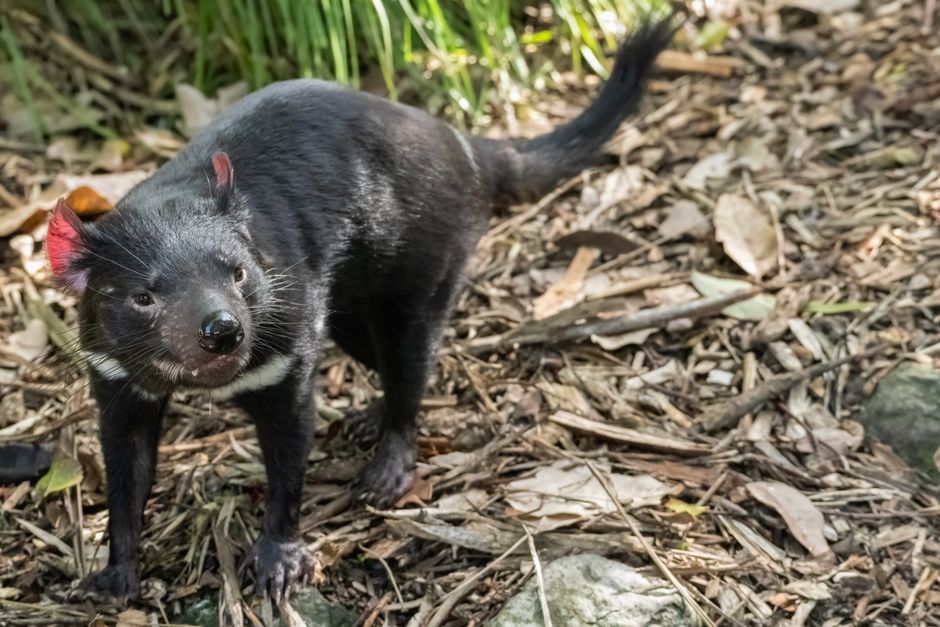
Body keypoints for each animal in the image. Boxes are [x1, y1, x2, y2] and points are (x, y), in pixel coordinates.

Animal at [46, 20, 672, 603]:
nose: (223, 329)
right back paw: (369, 416)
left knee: (411, 369)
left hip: (421, 275)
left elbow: (289, 462)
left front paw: (279, 560)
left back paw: (388, 465)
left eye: (238, 272)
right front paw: (113, 576)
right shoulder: (115, 380)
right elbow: (127, 477)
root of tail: (461, 141)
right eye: (143, 296)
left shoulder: (286, 362)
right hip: (348, 313)